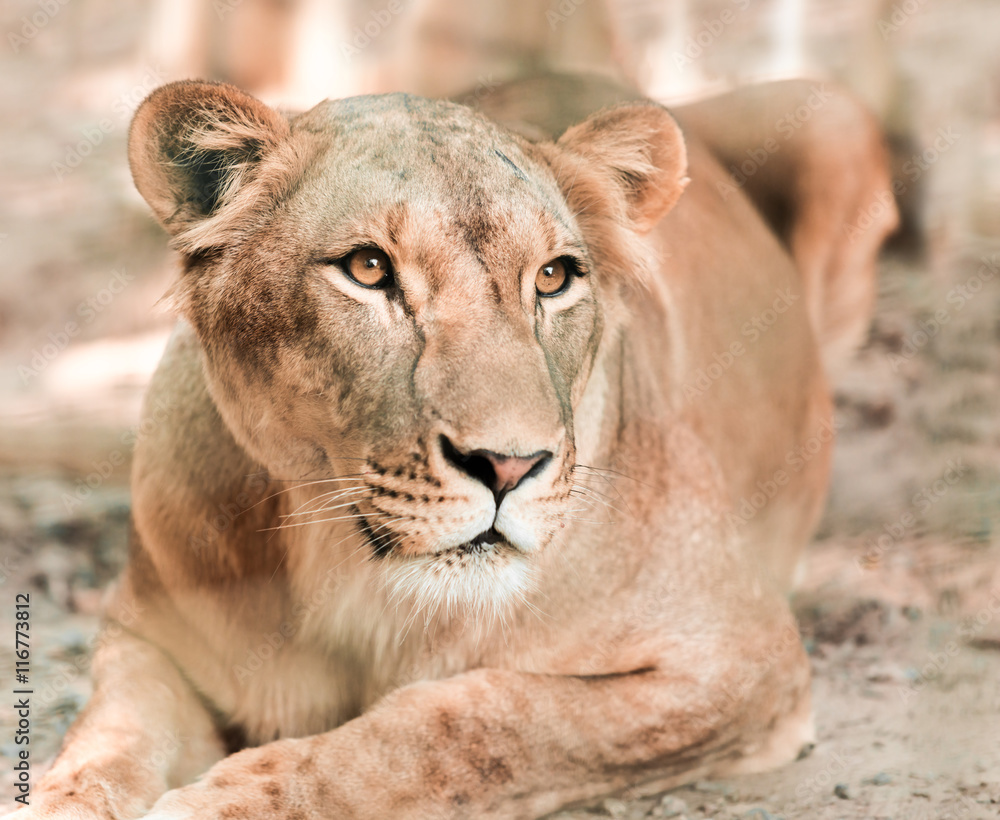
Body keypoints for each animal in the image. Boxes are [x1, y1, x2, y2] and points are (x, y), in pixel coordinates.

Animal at [21, 69, 896, 819]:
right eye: (367, 268)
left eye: (554, 277)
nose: (509, 465)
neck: (352, 582)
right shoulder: (148, 639)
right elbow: (103, 742)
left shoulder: (741, 658)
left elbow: (471, 720)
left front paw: (232, 798)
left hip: (833, 116)